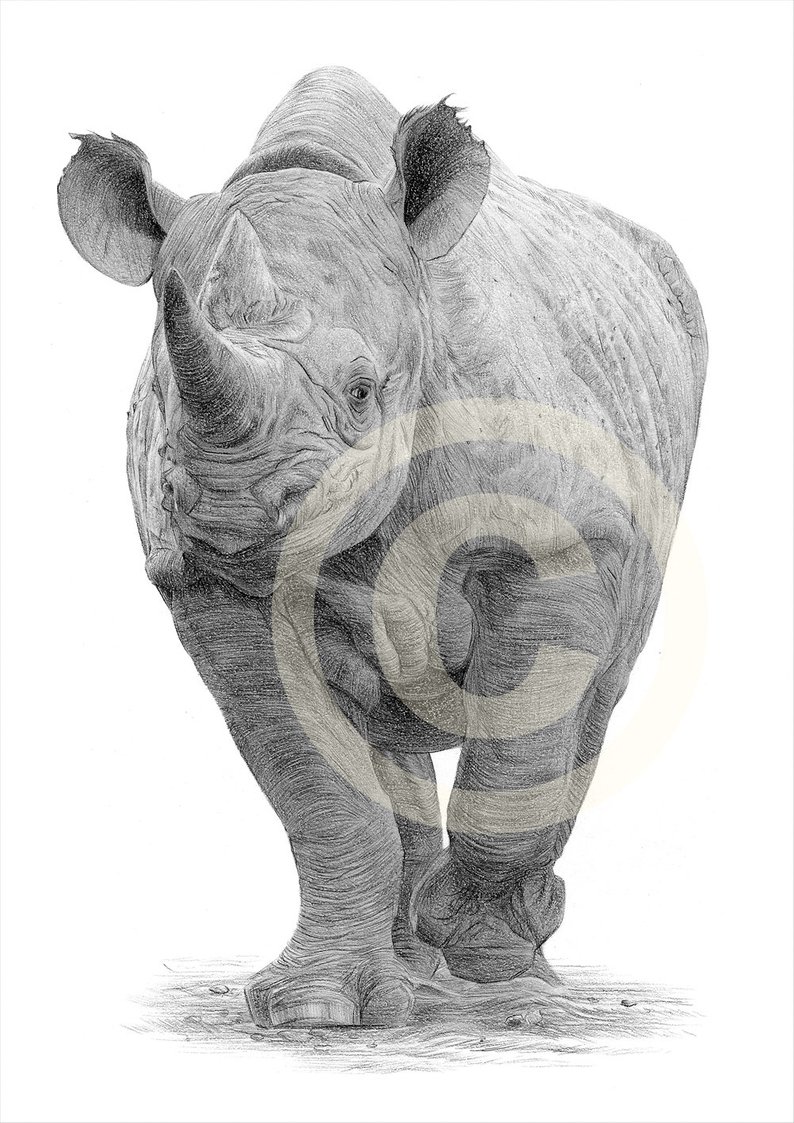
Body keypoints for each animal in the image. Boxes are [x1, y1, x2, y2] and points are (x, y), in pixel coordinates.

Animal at [58, 66, 706, 1029]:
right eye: (164, 398)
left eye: (363, 392)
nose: (231, 507)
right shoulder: (214, 590)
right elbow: (316, 787)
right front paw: (315, 1008)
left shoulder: (563, 540)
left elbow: (520, 743)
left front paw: (489, 964)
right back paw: (408, 969)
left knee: (596, 696)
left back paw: (499, 958)